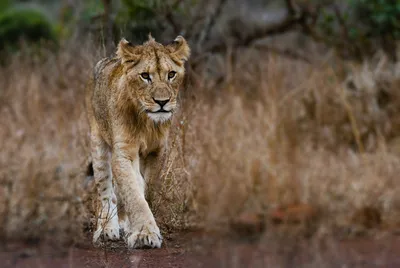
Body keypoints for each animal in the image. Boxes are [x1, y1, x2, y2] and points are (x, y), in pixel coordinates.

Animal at [85, 34, 191, 248]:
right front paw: (144, 233)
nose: (162, 102)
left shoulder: (157, 152)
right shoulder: (123, 152)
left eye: (171, 74)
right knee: (106, 192)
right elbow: (133, 193)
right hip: (98, 144)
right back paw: (106, 229)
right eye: (145, 76)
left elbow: (145, 189)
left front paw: (137, 228)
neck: (147, 122)